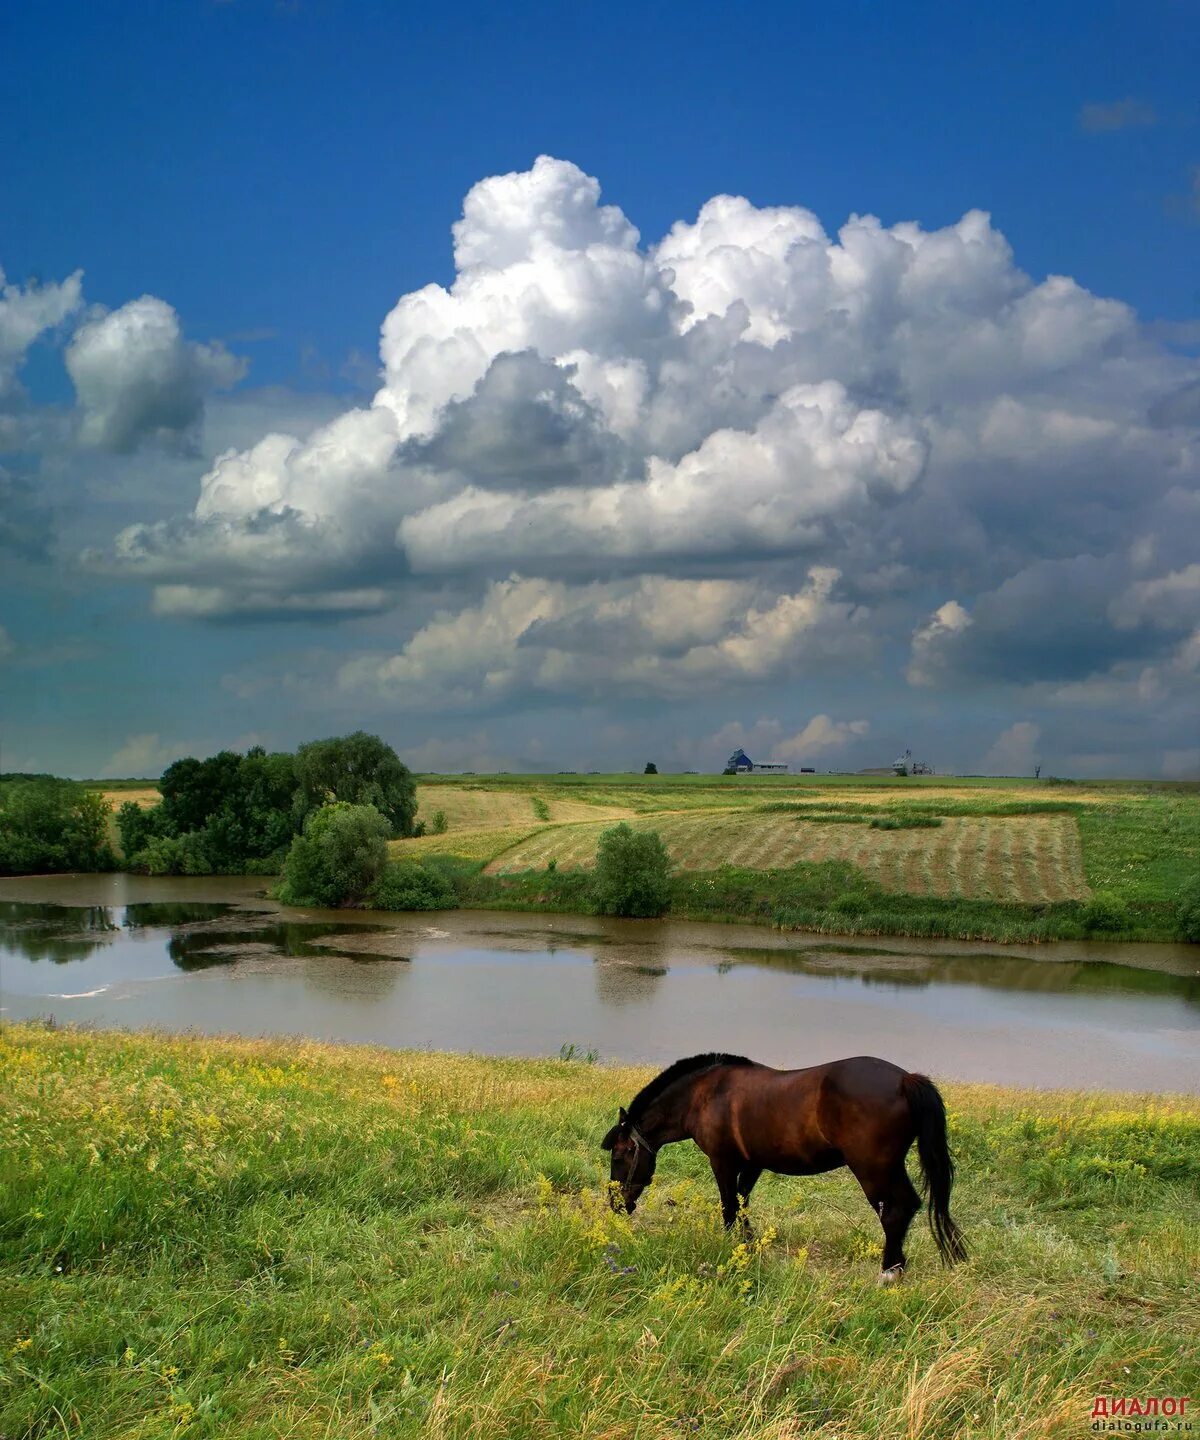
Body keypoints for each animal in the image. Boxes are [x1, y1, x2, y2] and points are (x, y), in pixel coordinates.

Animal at [599, 1054, 962, 1278]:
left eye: (619, 1156)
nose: (616, 1205)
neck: (704, 1095)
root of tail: (905, 1080)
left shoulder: (723, 1162)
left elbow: (728, 1206)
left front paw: (731, 1247)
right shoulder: (752, 1164)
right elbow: (743, 1203)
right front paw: (747, 1243)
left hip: (873, 1169)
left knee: (895, 1211)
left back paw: (889, 1272)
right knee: (908, 1206)